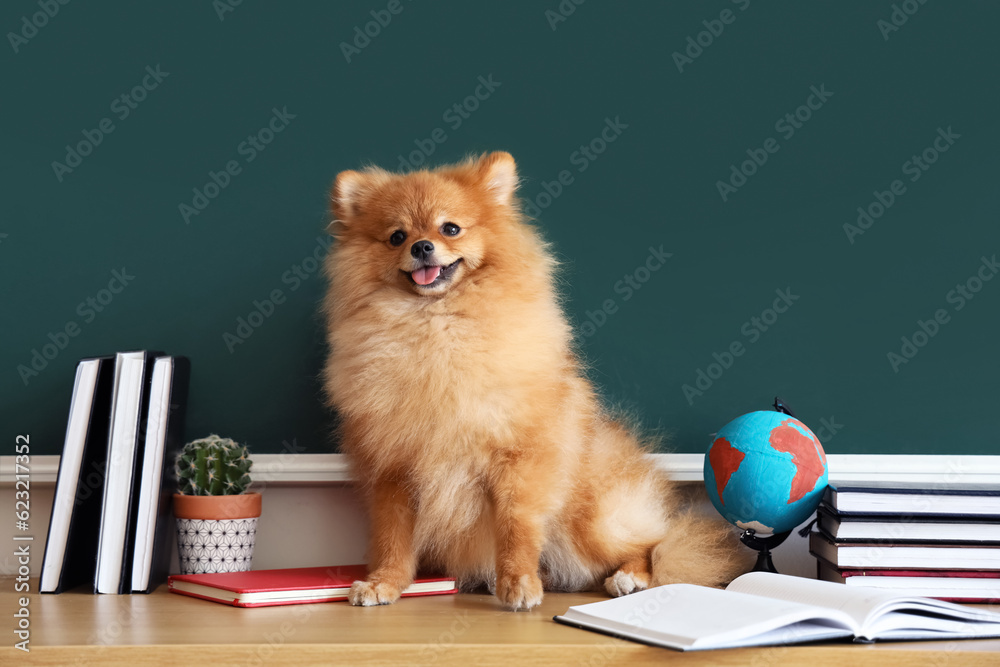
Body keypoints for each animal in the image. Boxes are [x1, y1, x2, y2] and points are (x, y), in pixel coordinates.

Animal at [324, 153, 748, 612]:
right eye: (397, 236)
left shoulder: (519, 460)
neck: (435, 330)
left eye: (450, 228)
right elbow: (392, 540)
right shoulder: (393, 471)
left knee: (658, 546)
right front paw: (384, 583)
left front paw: (519, 582)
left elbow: (517, 526)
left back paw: (628, 577)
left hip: (590, 521)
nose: (421, 246)